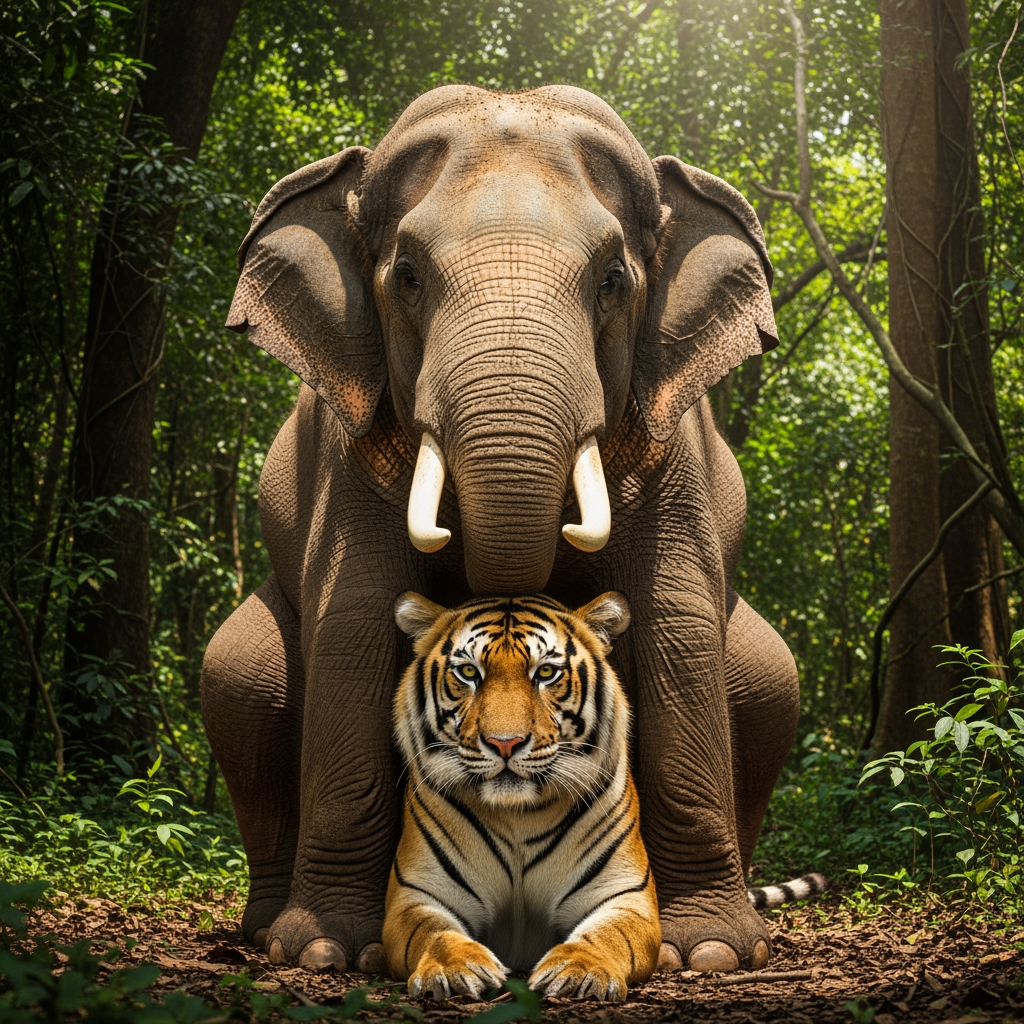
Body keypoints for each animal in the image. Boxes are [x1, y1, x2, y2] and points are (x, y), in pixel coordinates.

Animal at [384, 591, 660, 1003]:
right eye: (469, 673)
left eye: (545, 673)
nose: (505, 743)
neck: (518, 815)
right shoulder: (416, 894)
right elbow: (436, 934)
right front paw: (456, 968)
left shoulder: (627, 895)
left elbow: (607, 935)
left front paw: (579, 971)